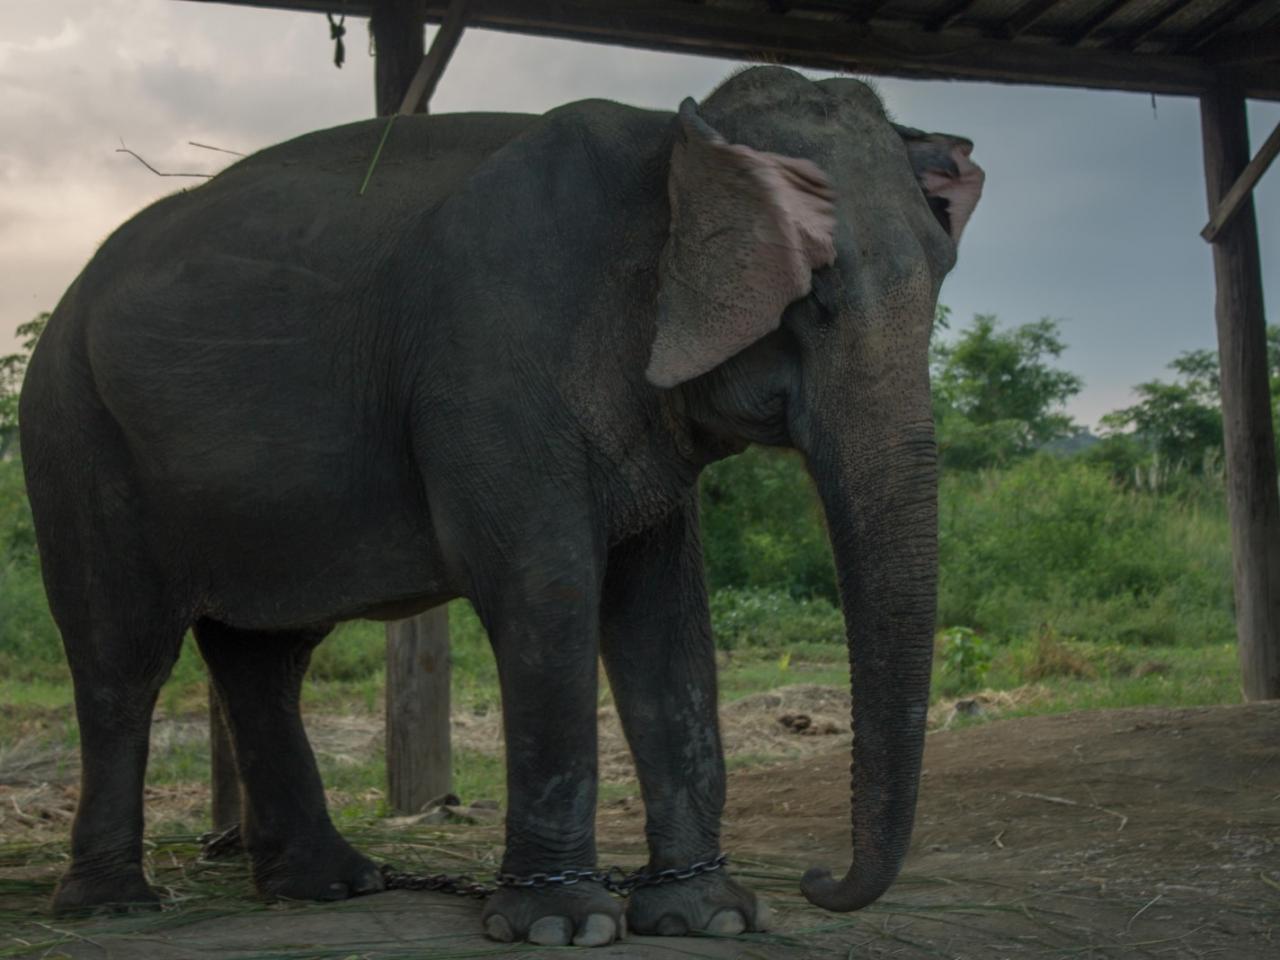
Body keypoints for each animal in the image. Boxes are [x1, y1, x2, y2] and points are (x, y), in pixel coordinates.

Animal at [17, 65, 977, 947]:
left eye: (938, 283)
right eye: (815, 296)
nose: (818, 881)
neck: (670, 141)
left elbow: (665, 614)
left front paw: (708, 914)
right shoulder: (491, 361)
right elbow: (545, 587)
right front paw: (566, 924)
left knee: (264, 658)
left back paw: (329, 886)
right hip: (74, 435)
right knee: (121, 657)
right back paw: (114, 905)